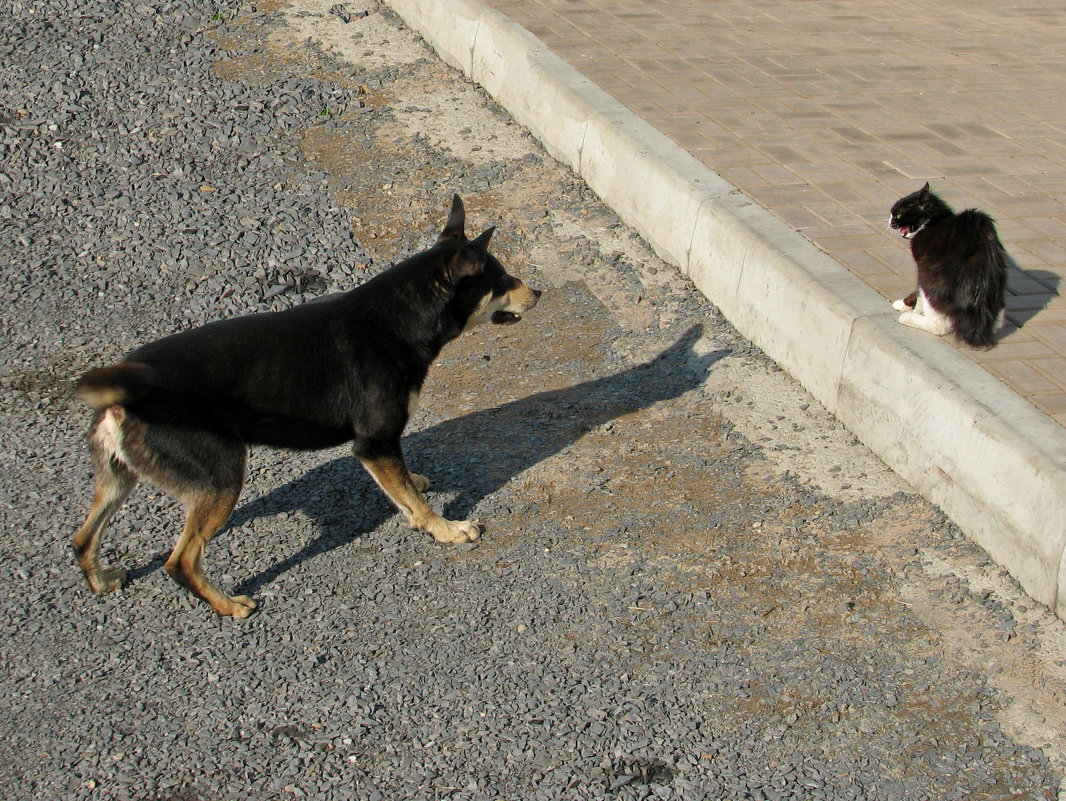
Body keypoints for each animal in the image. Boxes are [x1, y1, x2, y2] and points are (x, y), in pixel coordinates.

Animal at [73, 196, 541, 618]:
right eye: (501, 279)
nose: (538, 291)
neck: (399, 318)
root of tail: (126, 391)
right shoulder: (375, 443)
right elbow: (416, 504)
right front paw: (447, 530)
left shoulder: (378, 450)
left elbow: (404, 490)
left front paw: (417, 491)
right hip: (222, 477)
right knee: (180, 562)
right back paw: (229, 606)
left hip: (120, 480)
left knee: (82, 540)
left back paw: (102, 581)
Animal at [891, 183, 1006, 349]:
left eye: (898, 215)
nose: (890, 221)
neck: (934, 221)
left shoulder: (922, 265)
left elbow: (919, 295)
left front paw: (908, 307)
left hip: (930, 278)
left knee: (938, 325)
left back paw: (908, 318)